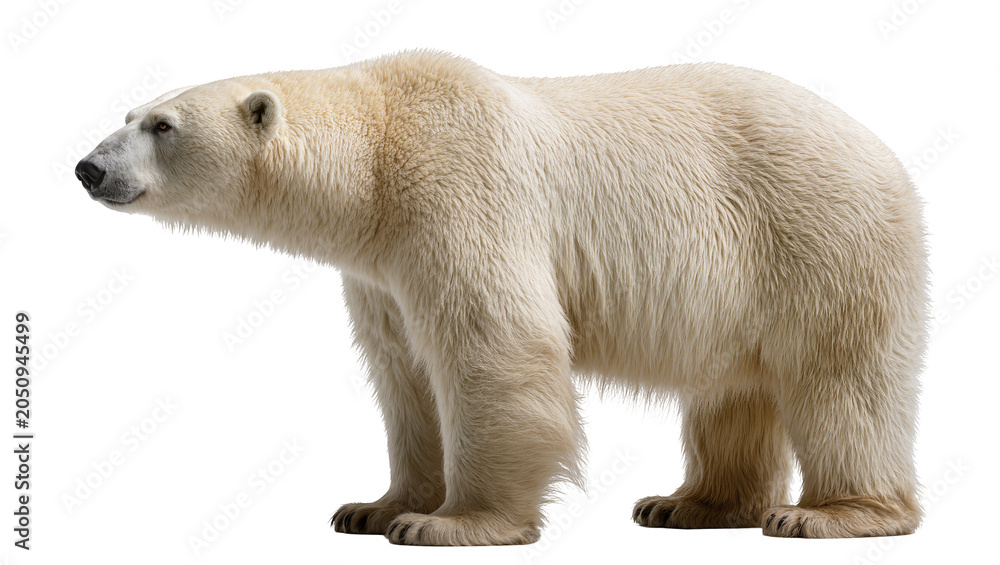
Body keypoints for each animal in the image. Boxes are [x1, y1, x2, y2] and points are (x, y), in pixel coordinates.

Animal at [75, 50, 926, 545]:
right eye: (127, 113)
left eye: (163, 125)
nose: (88, 167)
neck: (377, 153)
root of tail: (883, 148)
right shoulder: (380, 268)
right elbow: (405, 377)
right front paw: (372, 508)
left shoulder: (458, 191)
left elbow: (493, 348)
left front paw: (450, 522)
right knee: (732, 390)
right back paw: (690, 503)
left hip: (815, 232)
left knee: (840, 380)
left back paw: (830, 512)